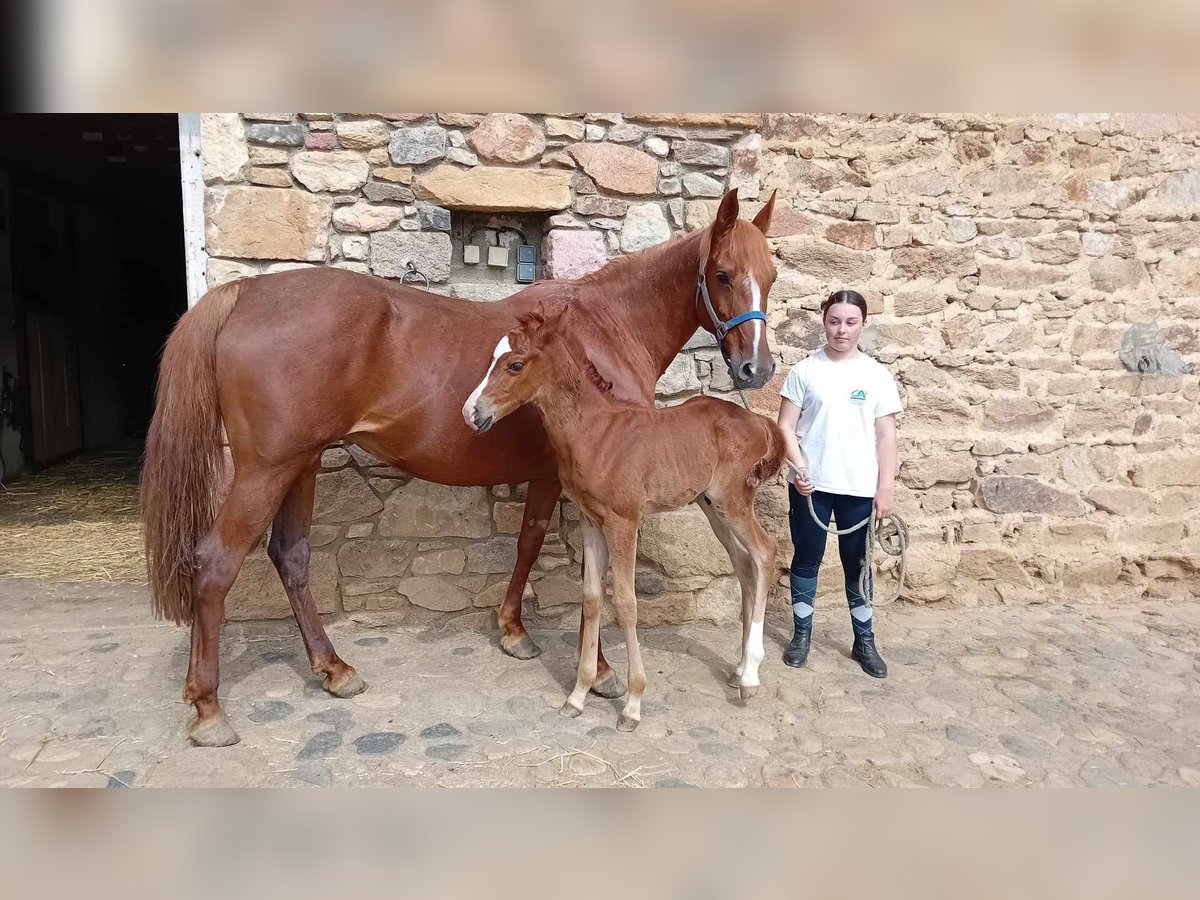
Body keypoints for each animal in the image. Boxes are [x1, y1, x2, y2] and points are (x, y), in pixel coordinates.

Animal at [460, 303, 787, 734]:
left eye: (515, 364)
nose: (471, 412)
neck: (596, 430)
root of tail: (760, 421)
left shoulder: (623, 521)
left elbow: (628, 603)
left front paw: (632, 704)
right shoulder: (591, 520)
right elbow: (592, 598)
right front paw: (578, 695)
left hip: (733, 501)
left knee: (765, 552)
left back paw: (750, 676)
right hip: (712, 506)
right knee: (744, 566)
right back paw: (738, 669)